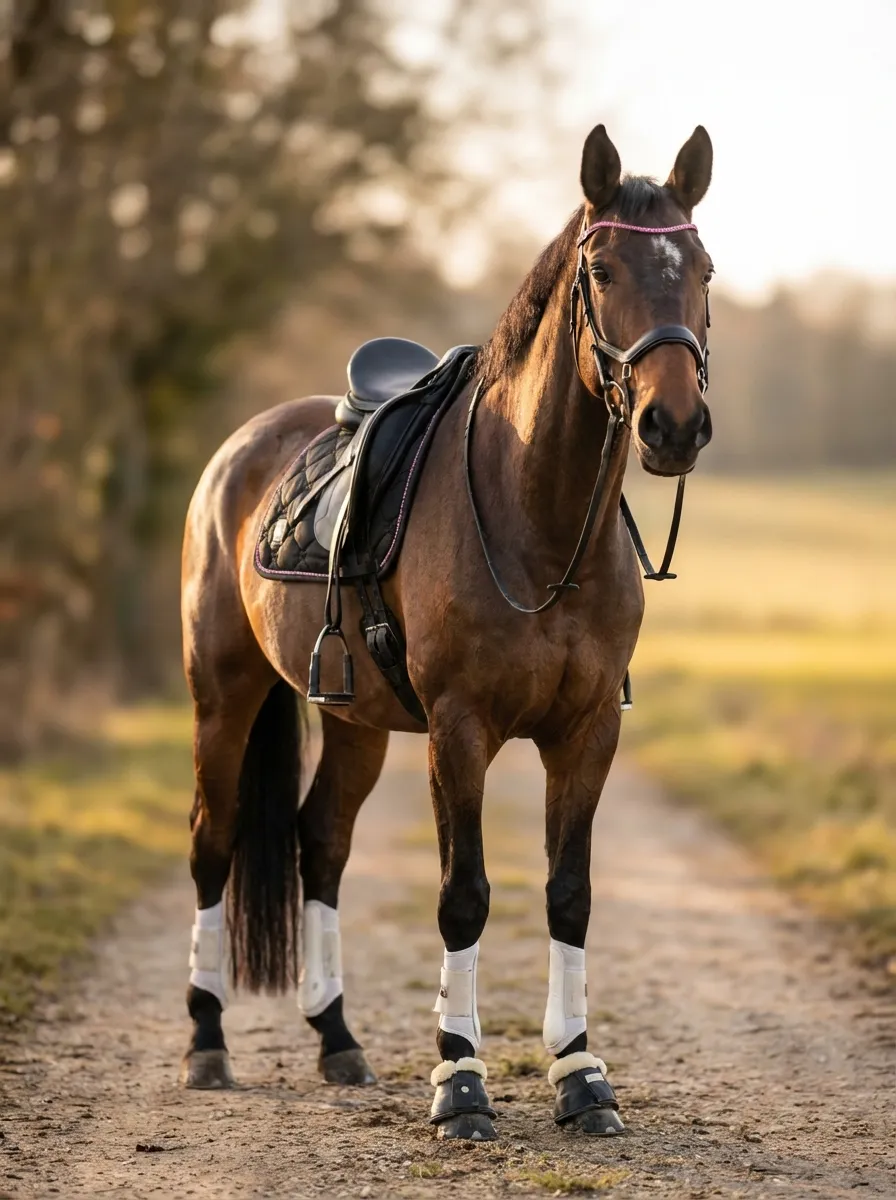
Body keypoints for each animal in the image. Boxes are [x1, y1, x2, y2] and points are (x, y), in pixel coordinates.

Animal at [179, 123, 715, 1141]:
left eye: (703, 268)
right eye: (603, 270)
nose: (673, 424)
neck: (536, 520)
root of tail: (240, 448)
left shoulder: (588, 731)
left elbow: (570, 894)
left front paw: (581, 1076)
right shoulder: (460, 732)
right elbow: (463, 898)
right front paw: (460, 1081)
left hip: (351, 721)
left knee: (321, 842)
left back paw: (337, 1039)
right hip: (223, 696)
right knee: (212, 842)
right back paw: (206, 1042)